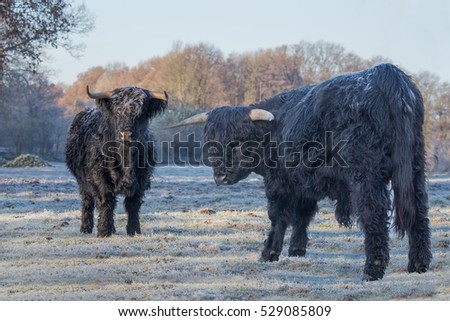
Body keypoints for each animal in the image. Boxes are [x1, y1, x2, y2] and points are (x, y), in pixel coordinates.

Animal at [67, 86, 170, 236]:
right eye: (116, 112)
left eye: (141, 112)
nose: (125, 134)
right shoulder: (100, 178)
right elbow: (106, 202)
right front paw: (104, 231)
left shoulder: (142, 178)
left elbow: (133, 204)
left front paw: (134, 230)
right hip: (82, 181)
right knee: (87, 201)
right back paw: (86, 228)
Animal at [173, 63, 432, 278]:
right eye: (211, 144)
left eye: (237, 143)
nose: (220, 176)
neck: (273, 132)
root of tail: (387, 73)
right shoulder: (304, 182)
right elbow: (302, 216)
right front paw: (296, 250)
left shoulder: (278, 182)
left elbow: (278, 216)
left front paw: (269, 253)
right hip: (415, 169)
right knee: (419, 210)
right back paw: (418, 264)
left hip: (366, 173)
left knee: (373, 212)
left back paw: (373, 269)